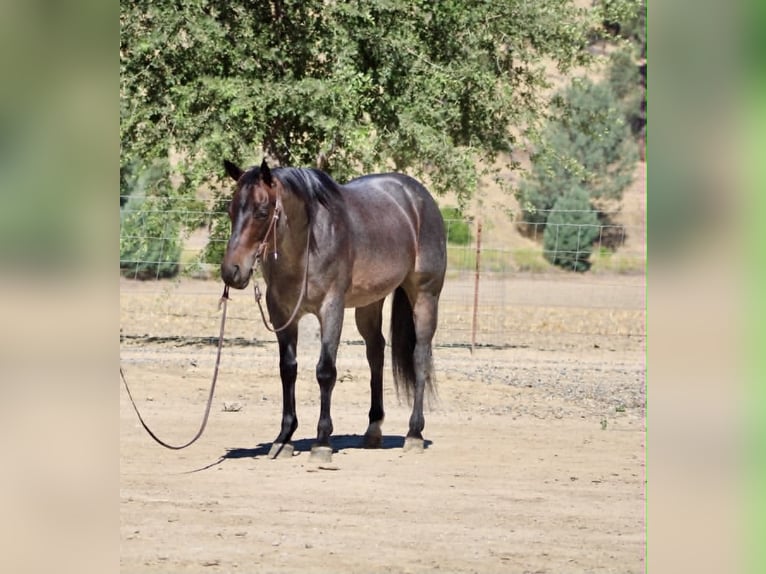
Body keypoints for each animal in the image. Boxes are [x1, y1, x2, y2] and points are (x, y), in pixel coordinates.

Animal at [220, 159, 446, 462]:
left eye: (262, 212)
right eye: (231, 210)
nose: (231, 272)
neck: (308, 243)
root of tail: (419, 196)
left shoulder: (331, 309)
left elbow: (325, 371)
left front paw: (322, 442)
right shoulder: (281, 313)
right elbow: (287, 369)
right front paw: (284, 439)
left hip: (424, 297)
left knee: (420, 357)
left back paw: (414, 434)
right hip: (369, 303)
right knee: (376, 353)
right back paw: (373, 430)